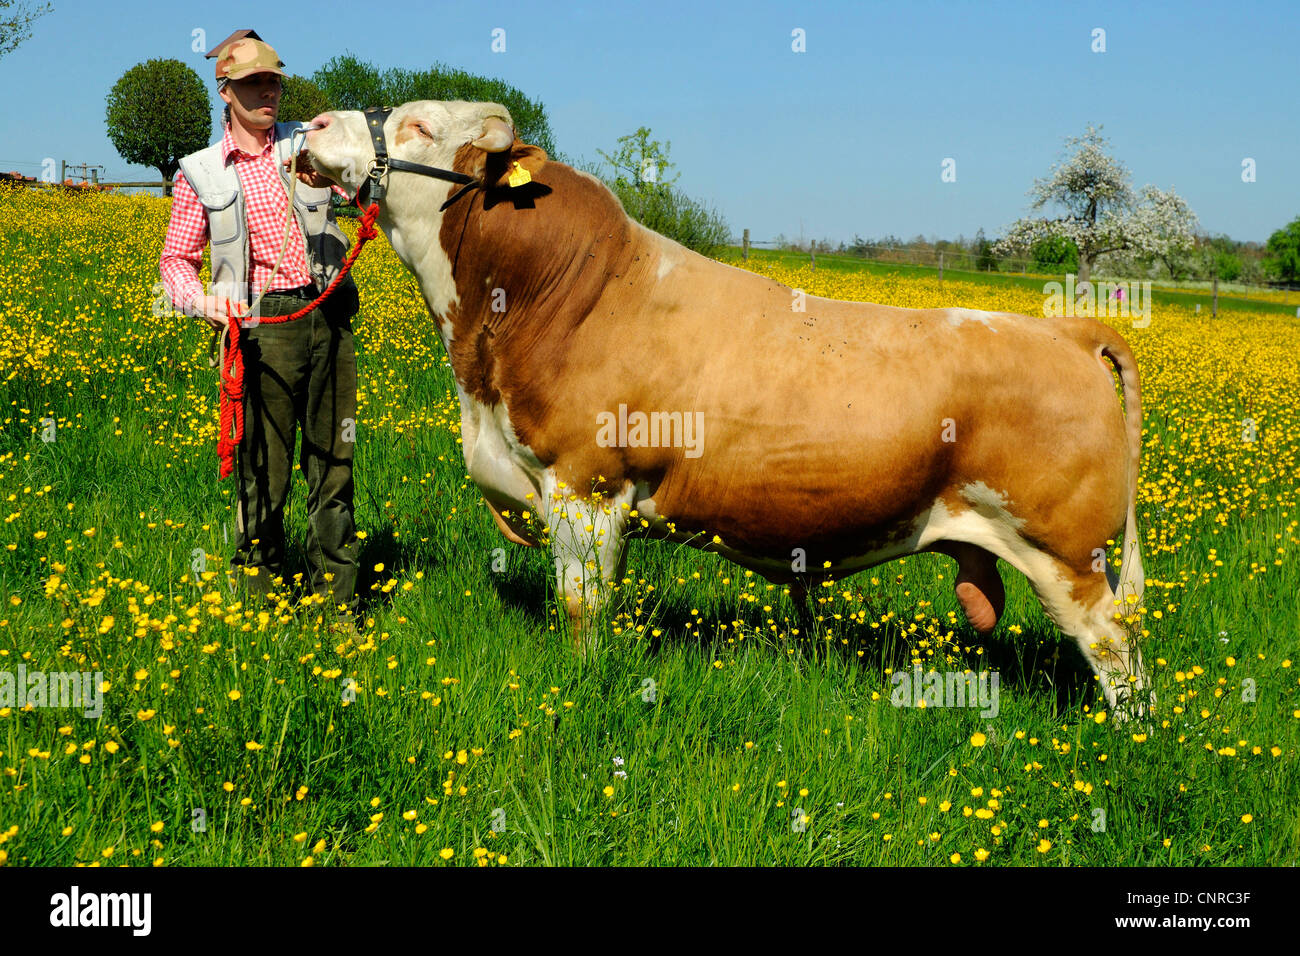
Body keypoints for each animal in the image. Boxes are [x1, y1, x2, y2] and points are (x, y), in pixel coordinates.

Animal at [304, 100, 1149, 712]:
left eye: (418, 125)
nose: (310, 126)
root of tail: (1067, 331)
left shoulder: (586, 486)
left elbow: (581, 610)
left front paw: (580, 684)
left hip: (1069, 554)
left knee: (1119, 658)